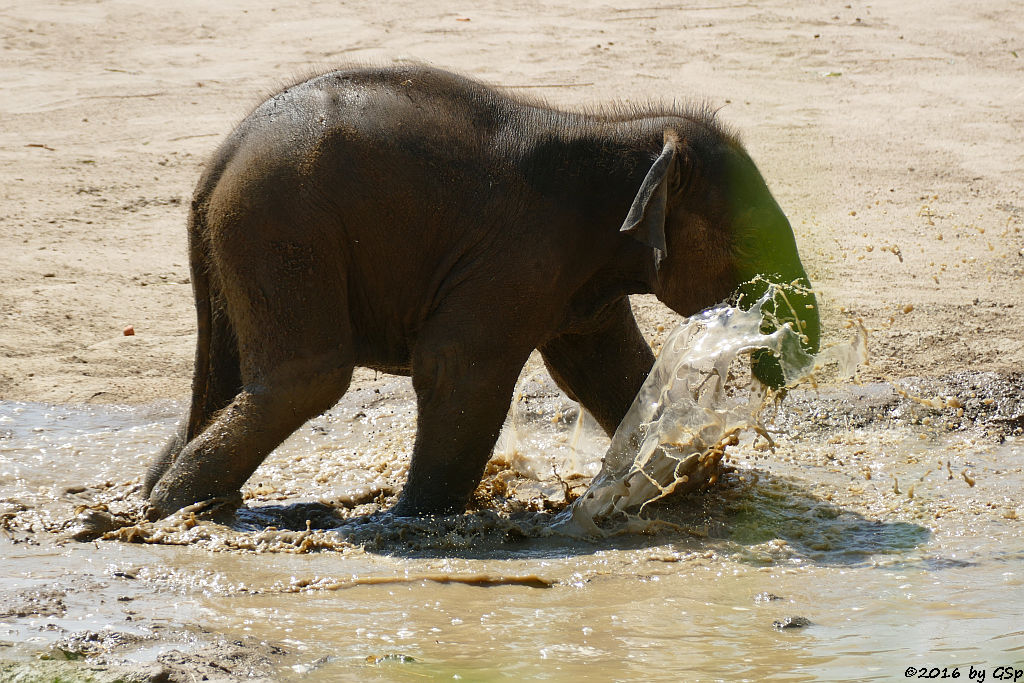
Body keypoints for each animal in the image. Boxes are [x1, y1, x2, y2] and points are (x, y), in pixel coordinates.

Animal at [142, 66, 815, 520]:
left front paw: (688, 483)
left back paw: (169, 499)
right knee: (306, 378)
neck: (614, 133)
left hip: (242, 246)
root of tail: (220, 161)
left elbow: (610, 368)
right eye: (749, 243)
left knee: (224, 380)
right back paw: (172, 512)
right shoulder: (521, 254)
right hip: (284, 229)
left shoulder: (575, 284)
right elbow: (459, 367)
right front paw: (411, 522)